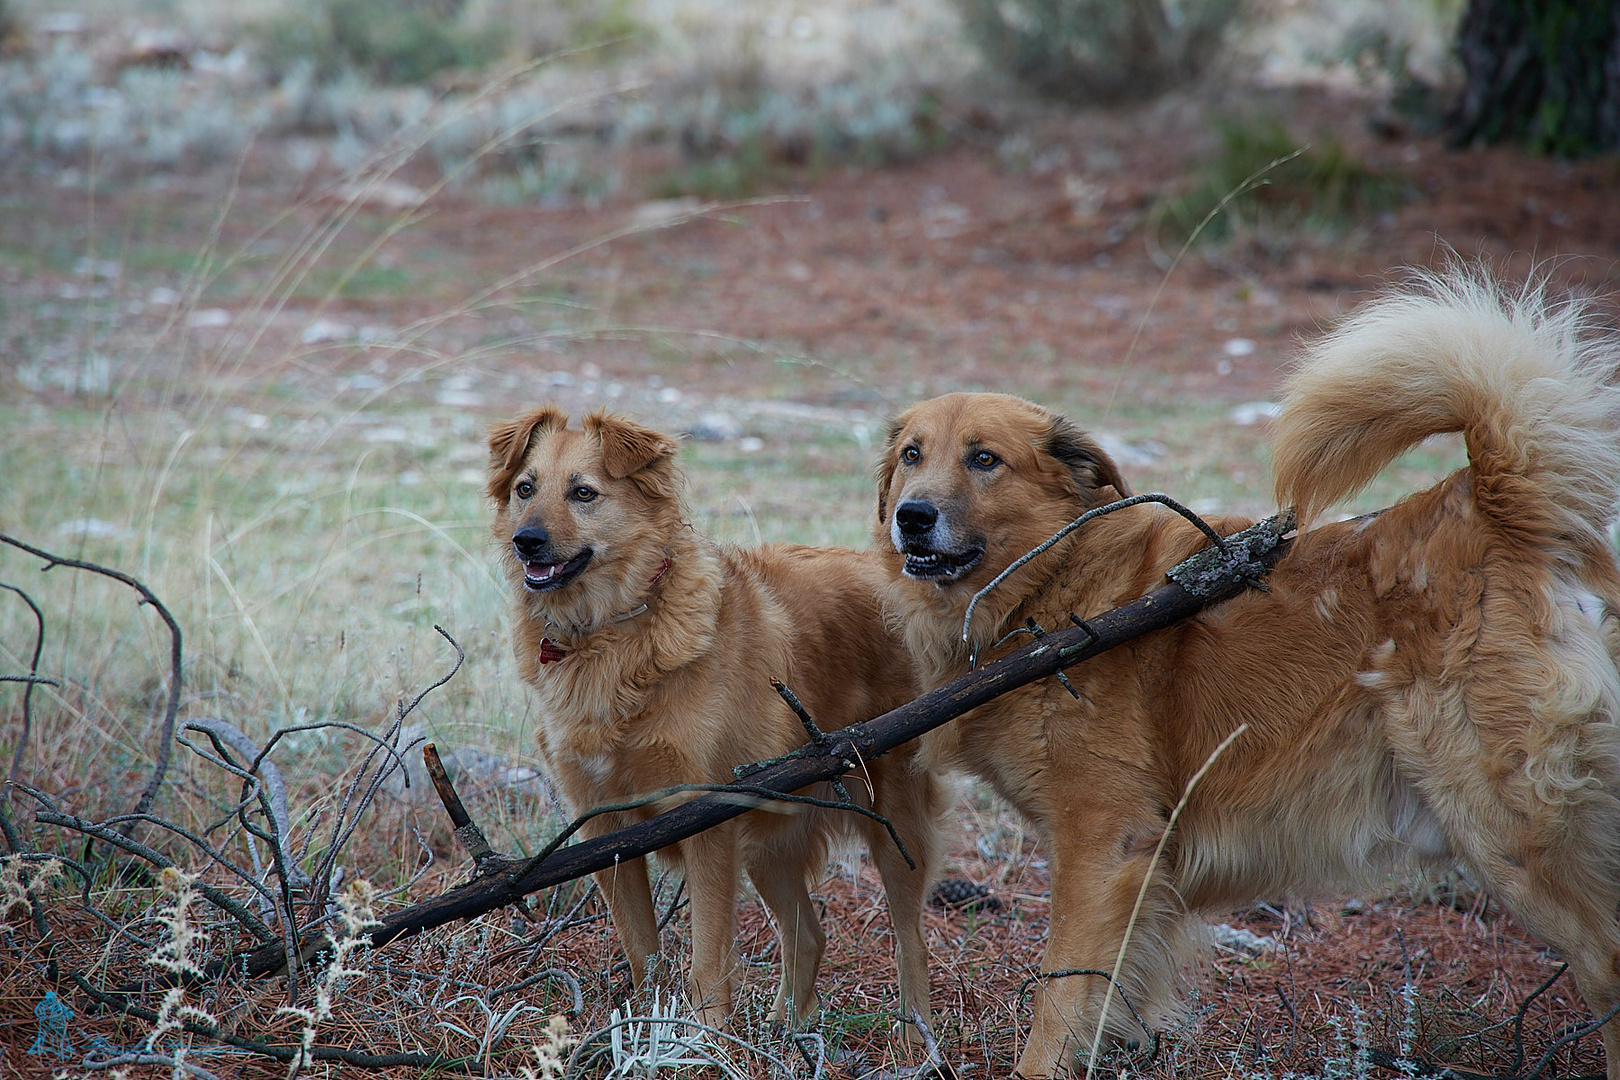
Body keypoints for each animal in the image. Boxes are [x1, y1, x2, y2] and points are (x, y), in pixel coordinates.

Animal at [486, 408, 946, 1036]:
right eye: (525, 489)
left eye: (583, 493)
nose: (525, 541)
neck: (609, 633)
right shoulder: (604, 830)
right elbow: (642, 950)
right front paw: (648, 1025)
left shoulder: (705, 818)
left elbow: (707, 958)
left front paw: (705, 1038)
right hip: (771, 839)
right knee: (809, 935)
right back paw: (783, 1033)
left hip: (891, 817)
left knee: (910, 938)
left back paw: (915, 1034)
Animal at [881, 272, 1620, 1080]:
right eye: (913, 454)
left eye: (984, 459)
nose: (910, 517)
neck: (1055, 585)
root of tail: (1492, 503)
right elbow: (1116, 992)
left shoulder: (1104, 843)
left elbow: (1061, 998)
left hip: (1505, 829)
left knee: (1607, 963)